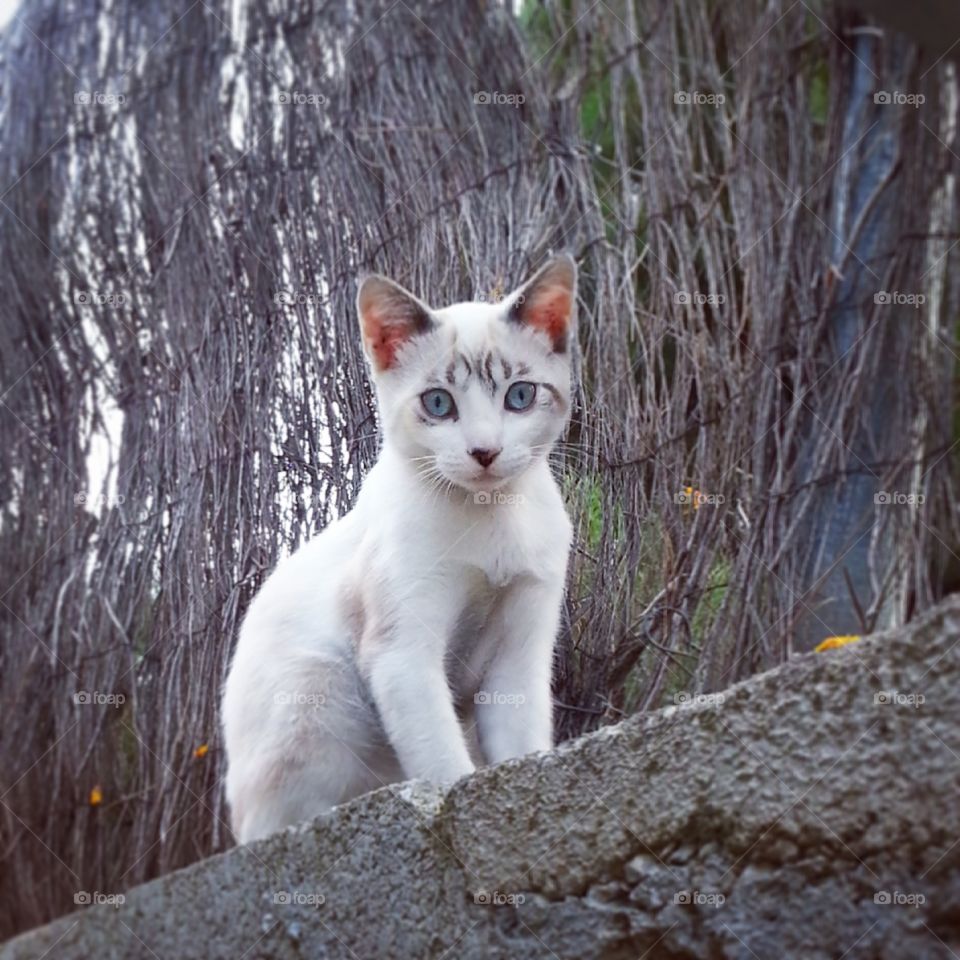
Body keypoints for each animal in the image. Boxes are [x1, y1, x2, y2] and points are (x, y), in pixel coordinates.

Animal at [221, 253, 572, 840]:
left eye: (519, 396)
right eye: (439, 403)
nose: (484, 452)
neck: (492, 520)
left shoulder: (519, 657)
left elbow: (519, 747)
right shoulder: (402, 656)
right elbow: (444, 765)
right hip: (320, 686)